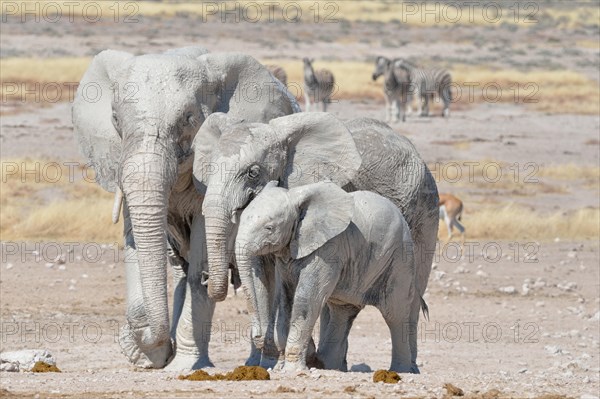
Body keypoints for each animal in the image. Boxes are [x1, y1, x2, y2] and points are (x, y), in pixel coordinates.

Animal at [73, 46, 300, 368]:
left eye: (189, 119)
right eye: (115, 118)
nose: (157, 347)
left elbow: (199, 263)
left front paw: (181, 365)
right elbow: (135, 247)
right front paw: (147, 356)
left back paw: (260, 364)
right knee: (182, 271)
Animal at [236, 182, 422, 376]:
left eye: (269, 228)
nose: (257, 335)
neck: (295, 198)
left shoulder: (328, 249)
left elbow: (306, 299)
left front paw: (294, 371)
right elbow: (285, 299)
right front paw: (280, 368)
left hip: (400, 259)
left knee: (395, 312)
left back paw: (401, 371)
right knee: (343, 311)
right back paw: (331, 367)